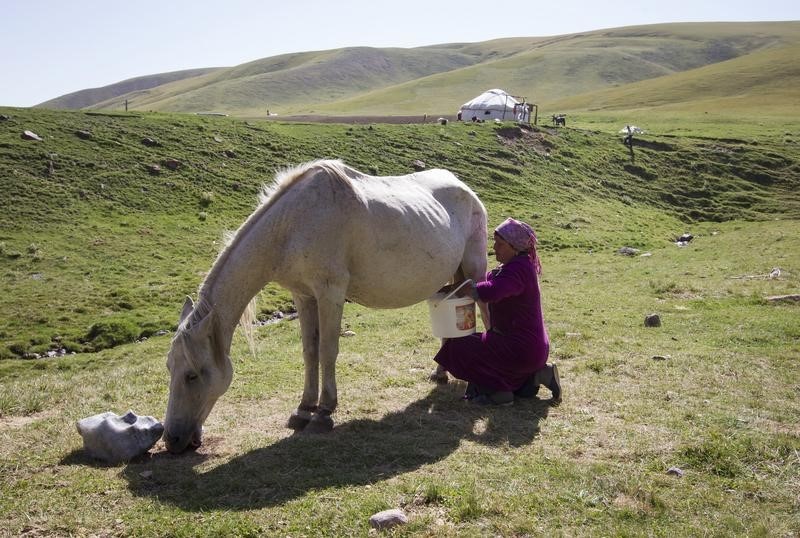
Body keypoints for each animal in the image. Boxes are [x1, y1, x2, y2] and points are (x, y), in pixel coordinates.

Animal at [162, 159, 488, 452]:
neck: (292, 225)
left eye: (192, 375)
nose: (172, 440)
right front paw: (303, 408)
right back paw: (441, 373)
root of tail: (463, 187)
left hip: (475, 269)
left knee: (485, 312)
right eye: (169, 368)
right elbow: (310, 351)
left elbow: (328, 351)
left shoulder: (330, 294)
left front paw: (324, 412)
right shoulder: (304, 296)